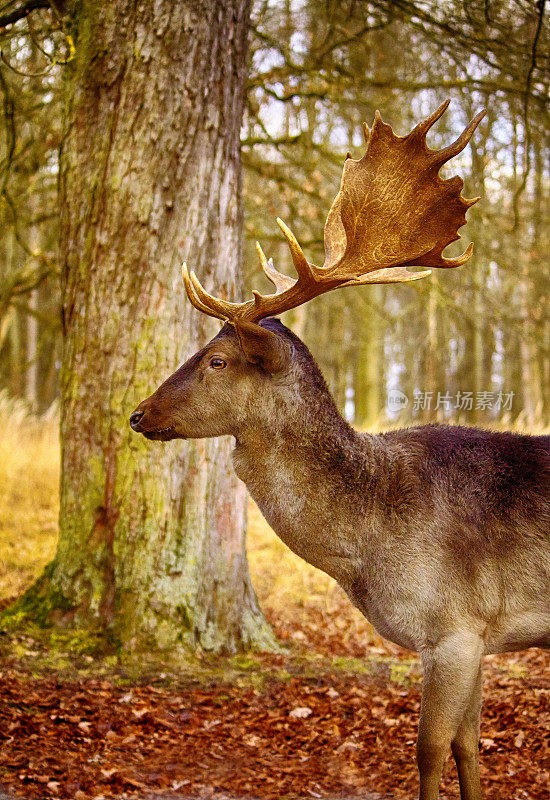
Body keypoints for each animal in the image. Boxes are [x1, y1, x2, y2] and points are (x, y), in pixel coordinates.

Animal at [132, 100, 548, 800]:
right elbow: (470, 748)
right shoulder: (480, 637)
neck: (369, 544)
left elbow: (430, 751)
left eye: (216, 359)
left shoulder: (454, 628)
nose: (138, 414)